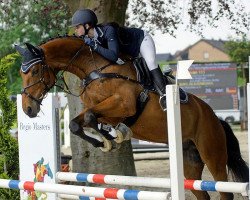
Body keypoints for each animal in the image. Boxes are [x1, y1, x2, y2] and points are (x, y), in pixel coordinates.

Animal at [15, 35, 248, 199]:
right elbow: (78, 123)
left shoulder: (124, 104)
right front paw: (109, 138)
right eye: (21, 74)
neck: (95, 68)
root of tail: (215, 118)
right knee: (202, 192)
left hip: (212, 155)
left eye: (34, 72)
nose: (28, 109)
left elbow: (90, 117)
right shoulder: (100, 109)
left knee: (224, 190)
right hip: (190, 163)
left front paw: (111, 138)